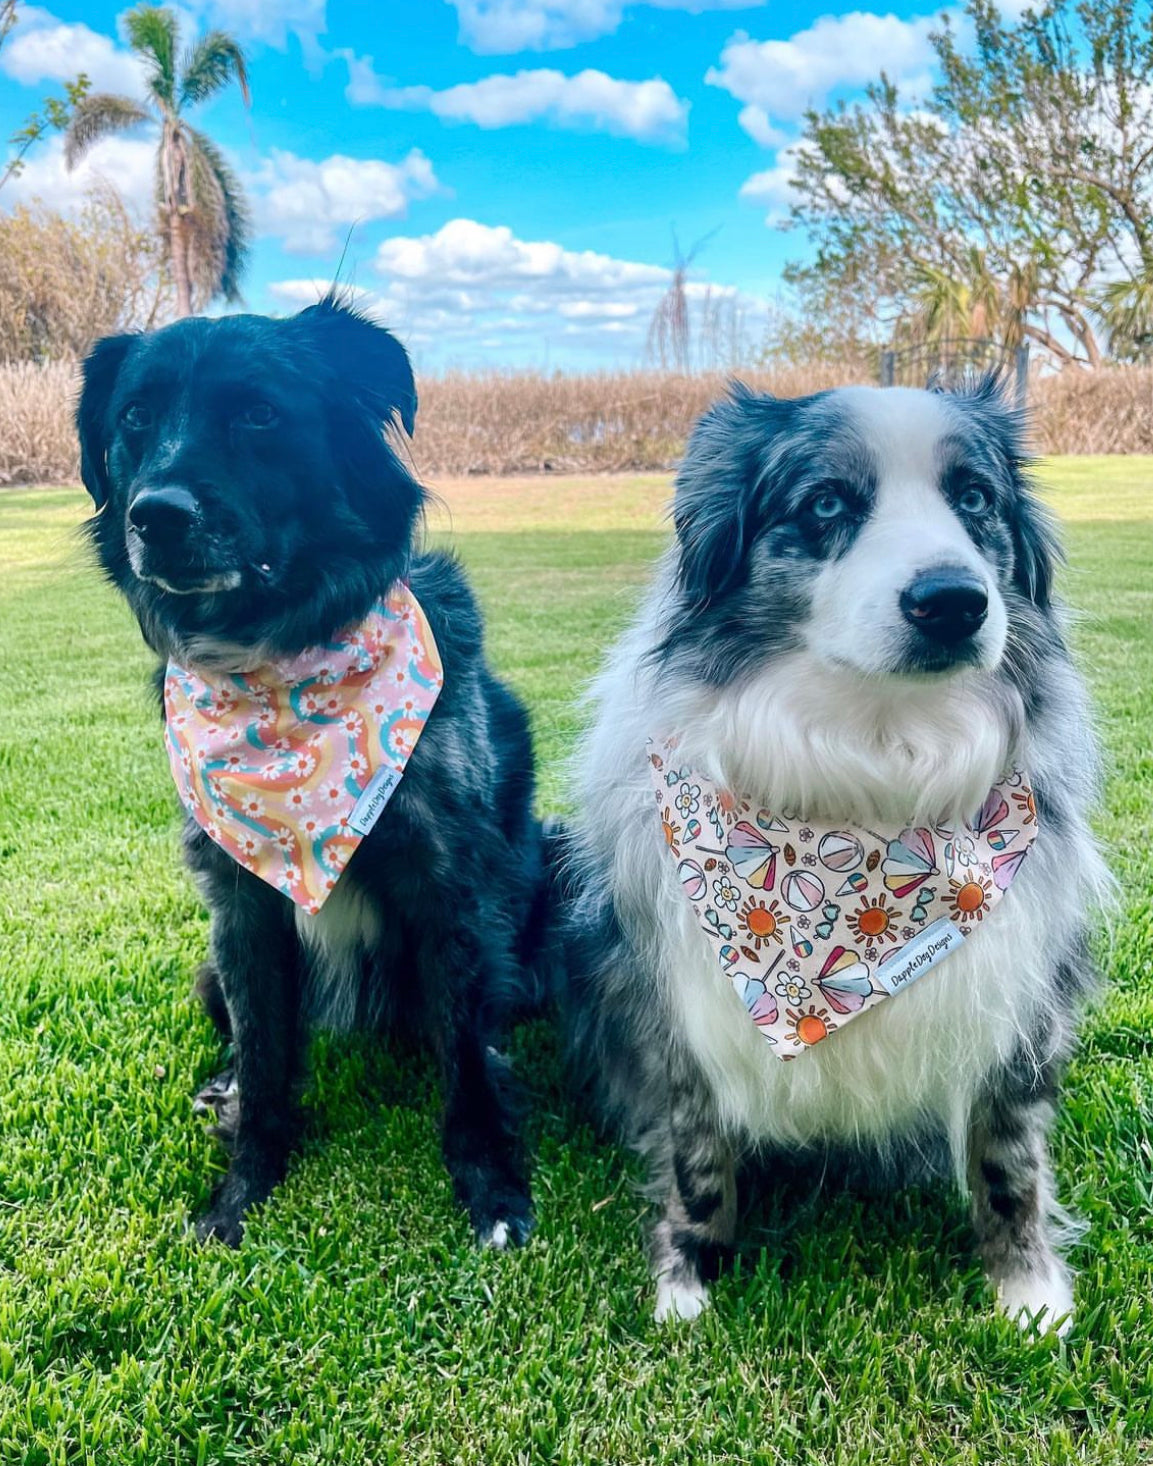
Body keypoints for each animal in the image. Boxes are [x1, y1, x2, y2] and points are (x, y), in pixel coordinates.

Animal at [78, 294, 545, 1249]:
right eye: (134, 418)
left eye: (259, 414)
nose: (156, 515)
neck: (278, 661)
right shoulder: (240, 903)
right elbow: (264, 1057)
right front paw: (241, 1192)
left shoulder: (450, 888)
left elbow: (466, 1065)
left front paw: (492, 1190)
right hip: (210, 968)